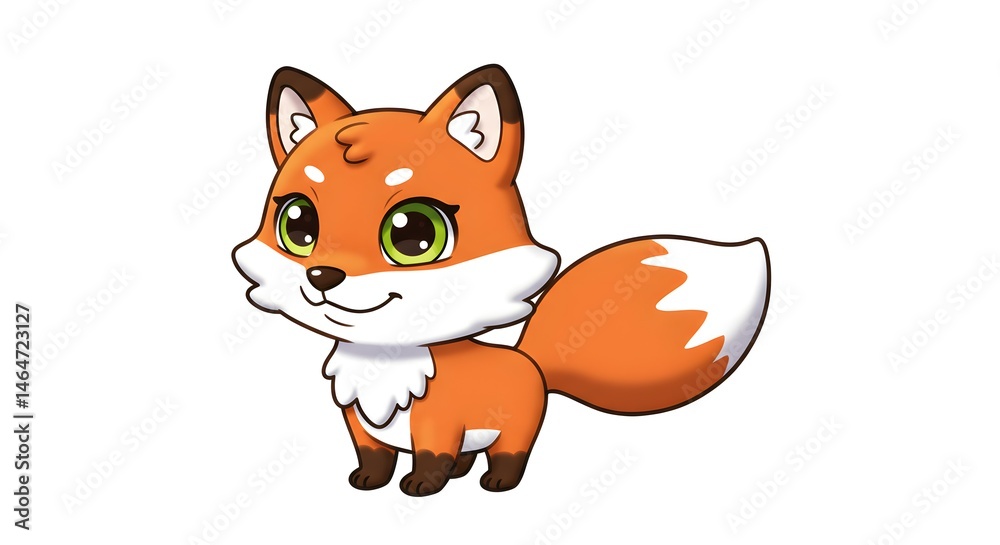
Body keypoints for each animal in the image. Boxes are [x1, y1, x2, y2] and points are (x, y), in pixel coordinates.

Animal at [232, 64, 771, 496]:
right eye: (298, 224)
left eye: (414, 234)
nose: (323, 274)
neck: (384, 367)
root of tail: (530, 361)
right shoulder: (358, 421)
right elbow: (374, 455)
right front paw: (368, 481)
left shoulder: (439, 422)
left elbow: (430, 456)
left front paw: (422, 486)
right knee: (467, 456)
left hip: (515, 430)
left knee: (510, 455)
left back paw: (496, 482)